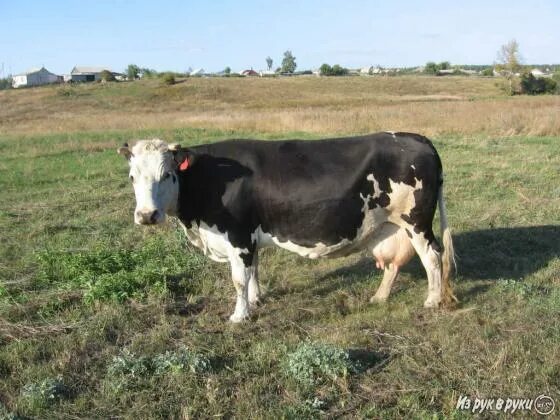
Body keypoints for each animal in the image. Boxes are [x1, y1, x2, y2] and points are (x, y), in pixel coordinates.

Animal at [118, 133, 456, 324]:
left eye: (166, 174)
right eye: (132, 177)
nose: (146, 215)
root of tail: (416, 137)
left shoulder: (237, 236)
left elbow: (239, 279)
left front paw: (240, 315)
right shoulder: (250, 237)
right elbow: (254, 271)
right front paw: (256, 299)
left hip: (417, 222)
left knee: (432, 258)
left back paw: (432, 300)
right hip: (388, 224)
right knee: (393, 264)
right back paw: (379, 297)